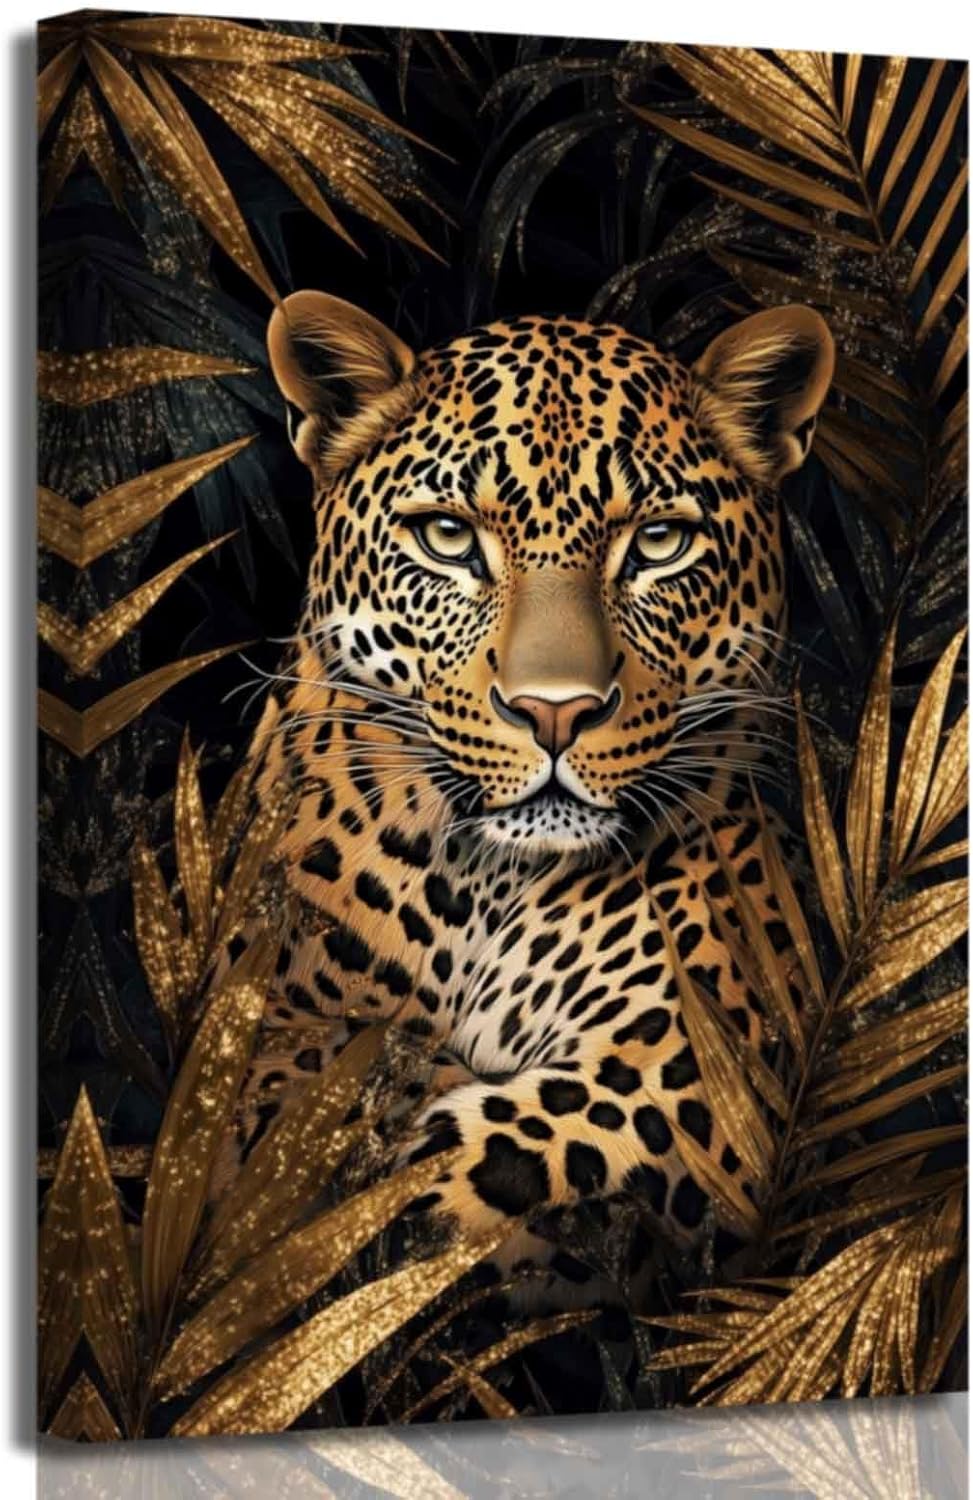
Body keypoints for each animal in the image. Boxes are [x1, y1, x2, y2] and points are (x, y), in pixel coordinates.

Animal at [233, 290, 834, 1284]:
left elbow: (487, 1158)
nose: (555, 712)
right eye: (447, 537)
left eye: (658, 542)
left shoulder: (711, 1057)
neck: (488, 888)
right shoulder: (270, 1014)